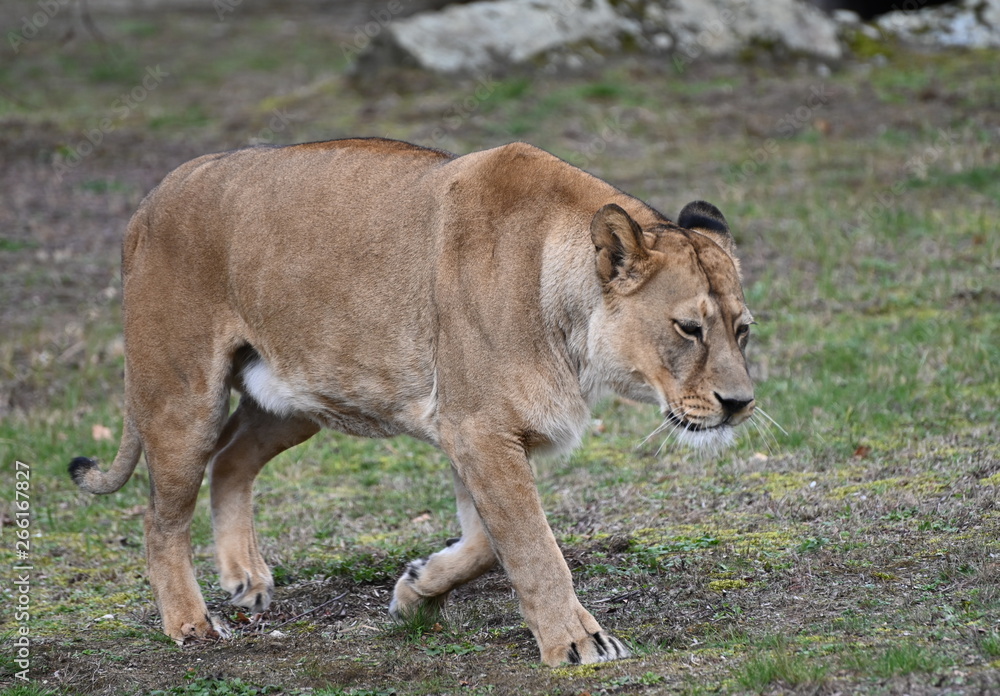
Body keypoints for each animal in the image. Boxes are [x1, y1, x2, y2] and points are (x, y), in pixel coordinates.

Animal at [69, 138, 755, 666]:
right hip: (182, 397)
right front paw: (578, 645)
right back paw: (189, 625)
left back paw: (247, 579)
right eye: (689, 328)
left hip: (291, 399)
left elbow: (487, 545)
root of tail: (151, 199)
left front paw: (416, 591)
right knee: (160, 517)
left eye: (741, 330)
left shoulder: (473, 431)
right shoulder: (478, 428)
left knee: (231, 460)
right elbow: (534, 548)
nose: (740, 402)